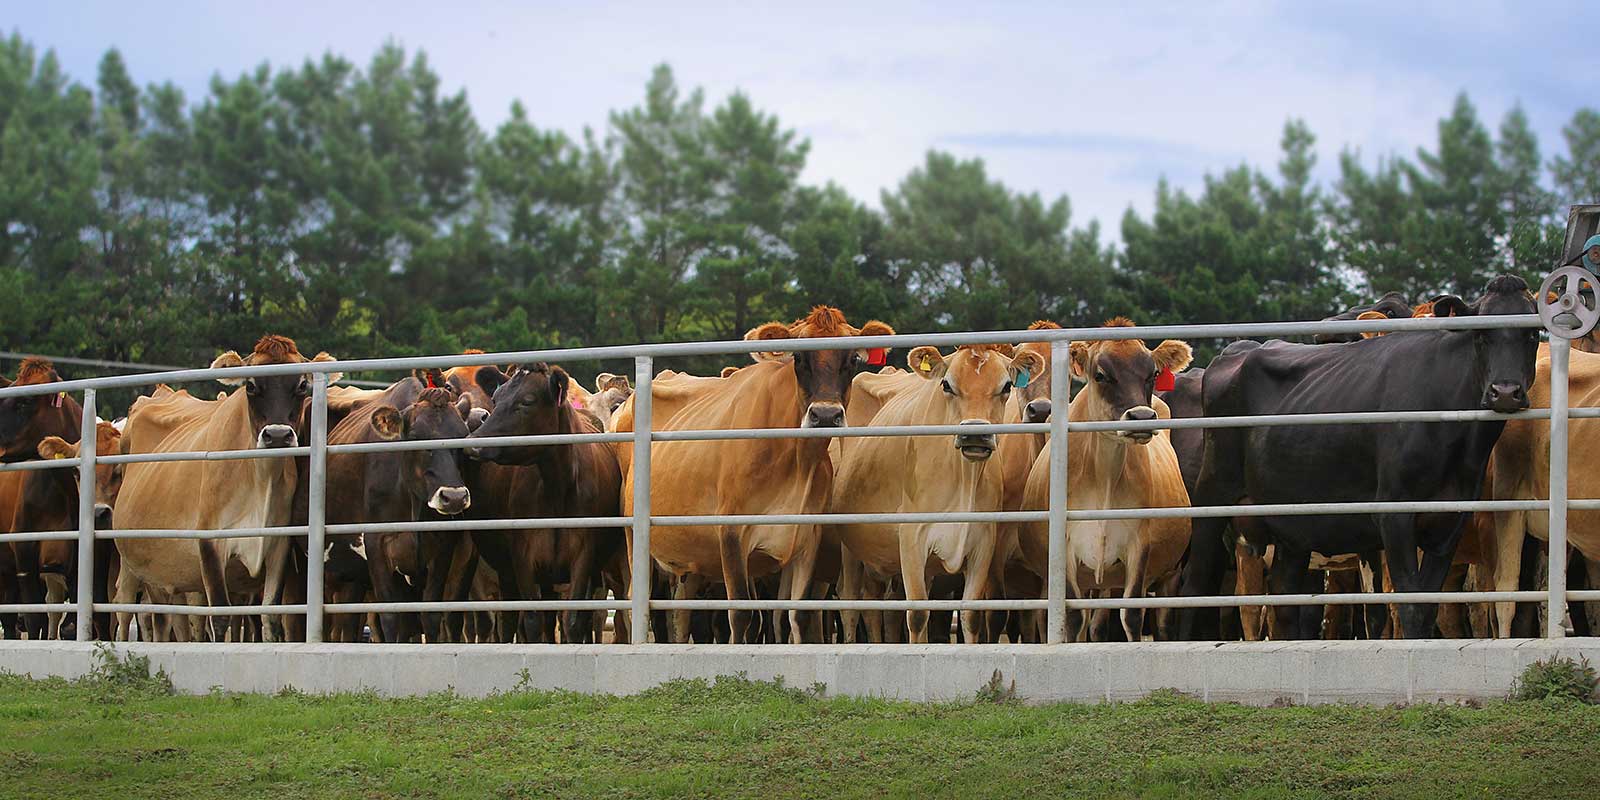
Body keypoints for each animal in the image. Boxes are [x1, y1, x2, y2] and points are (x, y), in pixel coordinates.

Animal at [113, 334, 340, 640]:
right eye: (251, 385)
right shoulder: (210, 542)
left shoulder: (278, 546)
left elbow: (270, 617)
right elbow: (220, 618)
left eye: (302, 384)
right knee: (138, 612)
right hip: (136, 562)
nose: (277, 435)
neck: (261, 480)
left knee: (169, 618)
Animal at [617, 305, 896, 643]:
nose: (826, 415)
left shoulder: (806, 541)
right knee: (635, 602)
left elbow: (797, 616)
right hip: (634, 537)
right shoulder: (731, 535)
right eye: (798, 357)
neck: (797, 463)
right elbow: (741, 615)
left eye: (853, 359)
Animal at [832, 344, 1043, 643]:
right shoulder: (912, 541)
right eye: (946, 384)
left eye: (1006, 386)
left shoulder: (983, 545)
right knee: (851, 606)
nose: (975, 435)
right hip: (850, 550)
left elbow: (971, 616)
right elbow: (918, 615)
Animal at [1017, 318, 1196, 643]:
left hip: (1167, 573)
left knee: (1160, 623)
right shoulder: (1066, 551)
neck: (1104, 475)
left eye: (1152, 374)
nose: (1142, 417)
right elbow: (1073, 619)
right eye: (1100, 375)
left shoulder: (1139, 547)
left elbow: (1132, 615)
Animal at [1177, 275, 1536, 636]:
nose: (1505, 392)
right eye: (1481, 334)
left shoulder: (1449, 525)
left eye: (1532, 334)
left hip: (1290, 525)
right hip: (1213, 498)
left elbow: (1427, 608)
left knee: (1284, 599)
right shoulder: (1394, 516)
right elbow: (1409, 606)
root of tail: (1239, 350)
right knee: (1195, 587)